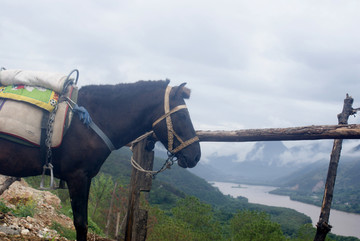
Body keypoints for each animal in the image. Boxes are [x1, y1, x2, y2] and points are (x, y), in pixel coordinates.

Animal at [0, 80, 201, 240]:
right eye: (183, 116)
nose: (196, 156)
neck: (89, 123)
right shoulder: (77, 178)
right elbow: (81, 224)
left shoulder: (86, 178)